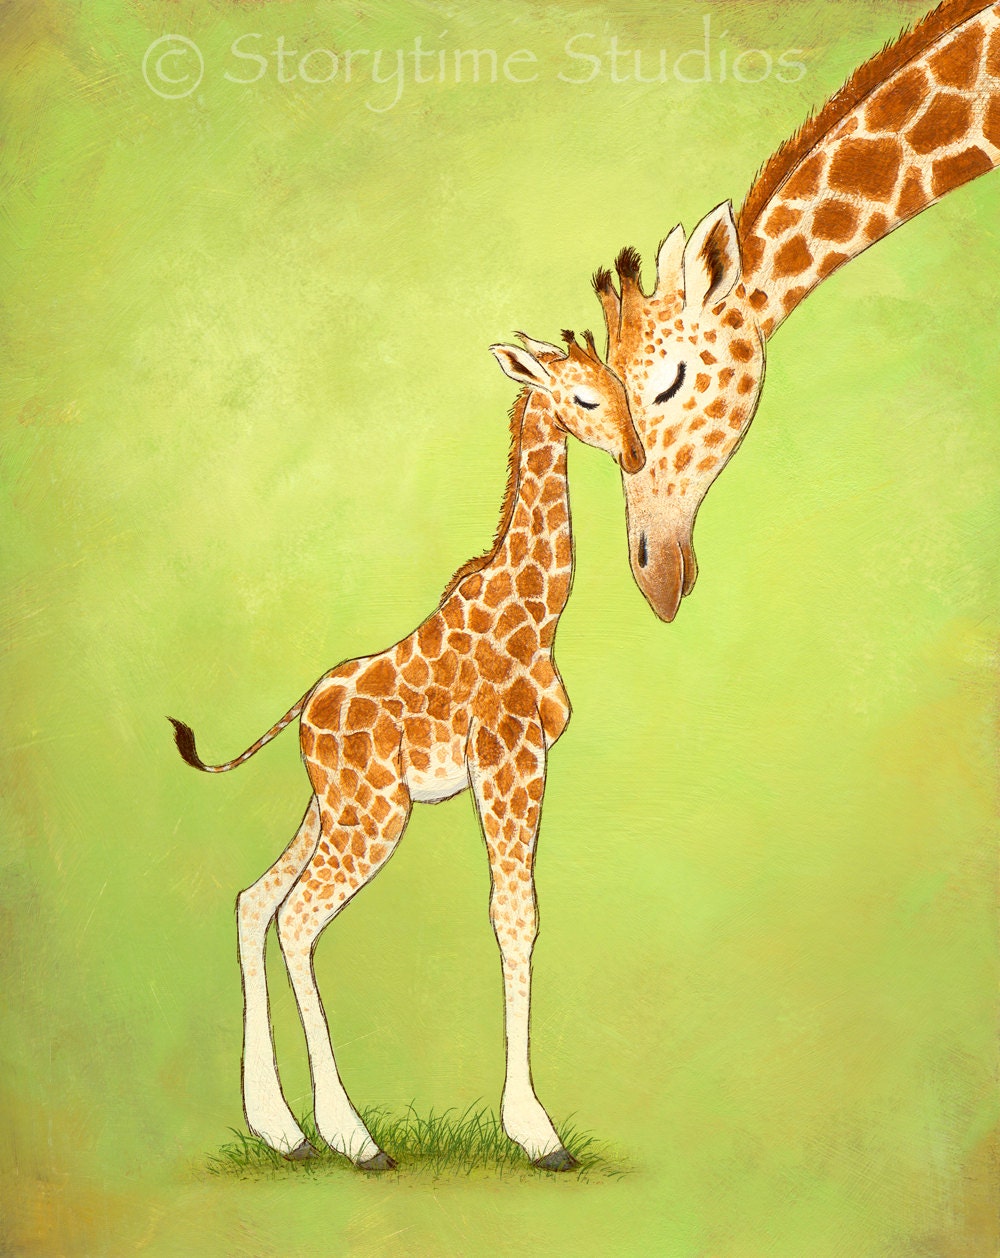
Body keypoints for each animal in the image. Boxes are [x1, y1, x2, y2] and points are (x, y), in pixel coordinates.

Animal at [169, 331, 645, 1170]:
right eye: (585, 398)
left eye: (623, 389)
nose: (634, 453)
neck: (537, 613)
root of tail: (304, 710)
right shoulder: (510, 757)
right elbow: (514, 915)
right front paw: (536, 1131)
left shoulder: (518, 763)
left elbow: (515, 913)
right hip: (373, 814)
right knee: (297, 919)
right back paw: (353, 1138)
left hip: (333, 805)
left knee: (255, 900)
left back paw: (282, 1129)